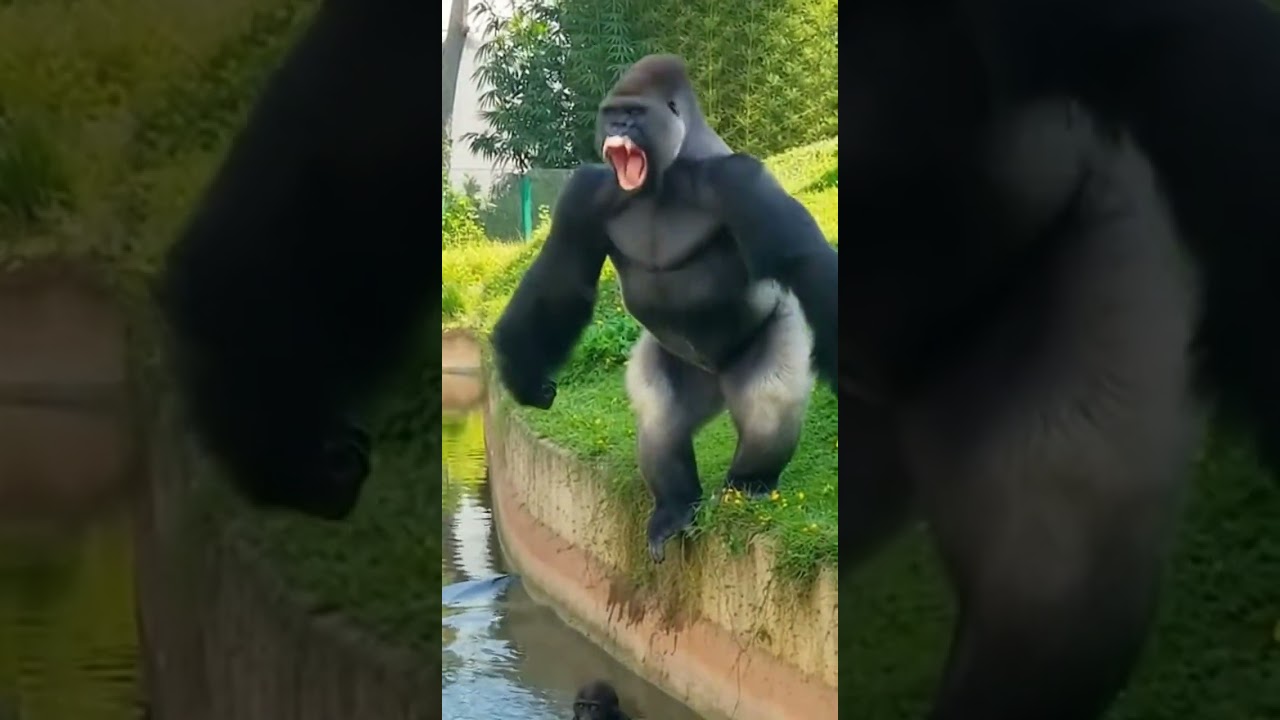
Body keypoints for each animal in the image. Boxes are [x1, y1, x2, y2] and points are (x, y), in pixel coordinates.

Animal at [488, 54, 838, 563]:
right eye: (613, 114)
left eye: (634, 115)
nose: (618, 128)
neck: (671, 171)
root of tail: (717, 384)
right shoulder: (585, 191)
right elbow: (561, 283)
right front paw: (522, 371)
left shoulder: (742, 181)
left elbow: (804, 260)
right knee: (660, 414)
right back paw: (675, 505)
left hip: (772, 339)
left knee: (768, 398)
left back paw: (748, 484)